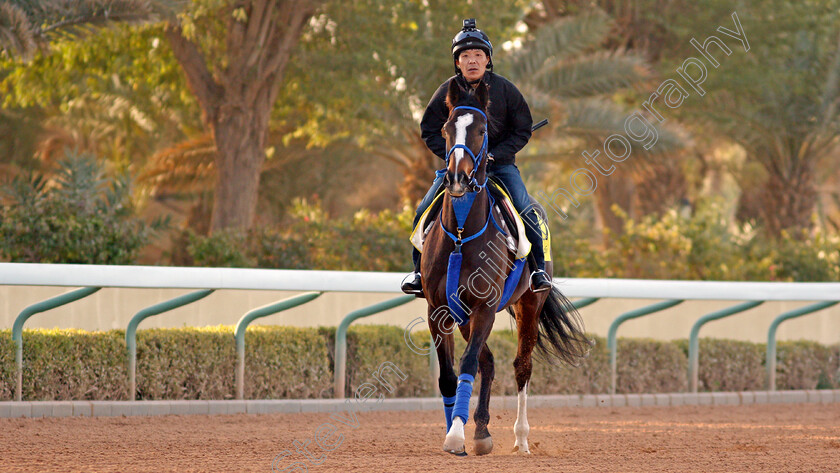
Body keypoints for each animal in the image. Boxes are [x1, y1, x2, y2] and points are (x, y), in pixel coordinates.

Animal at [420, 79, 592, 456]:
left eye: (482, 130)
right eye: (446, 128)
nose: (457, 178)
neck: (461, 234)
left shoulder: (485, 306)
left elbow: (469, 363)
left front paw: (456, 435)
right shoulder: (439, 309)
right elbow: (449, 375)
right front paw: (455, 431)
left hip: (529, 303)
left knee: (520, 366)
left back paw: (521, 438)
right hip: (464, 315)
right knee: (489, 362)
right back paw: (482, 431)